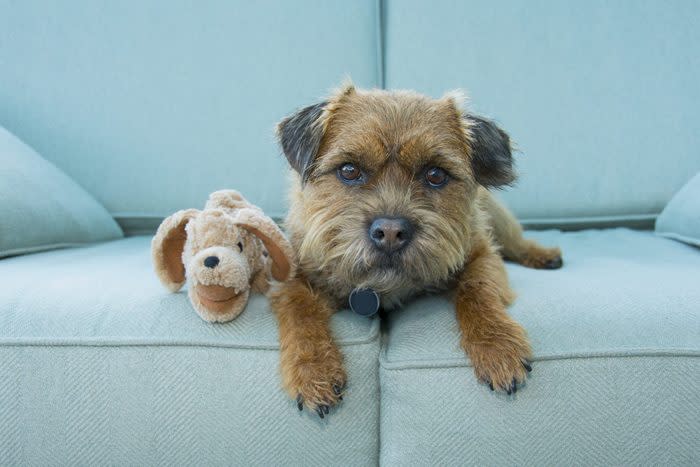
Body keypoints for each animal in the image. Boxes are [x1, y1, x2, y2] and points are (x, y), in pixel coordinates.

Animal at [270, 83, 564, 416]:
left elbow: (477, 289)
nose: (390, 232)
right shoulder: (291, 278)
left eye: (435, 175)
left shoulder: (481, 253)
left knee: (517, 242)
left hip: (499, 218)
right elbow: (300, 310)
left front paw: (497, 345)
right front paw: (313, 369)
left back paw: (543, 255)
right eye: (349, 170)